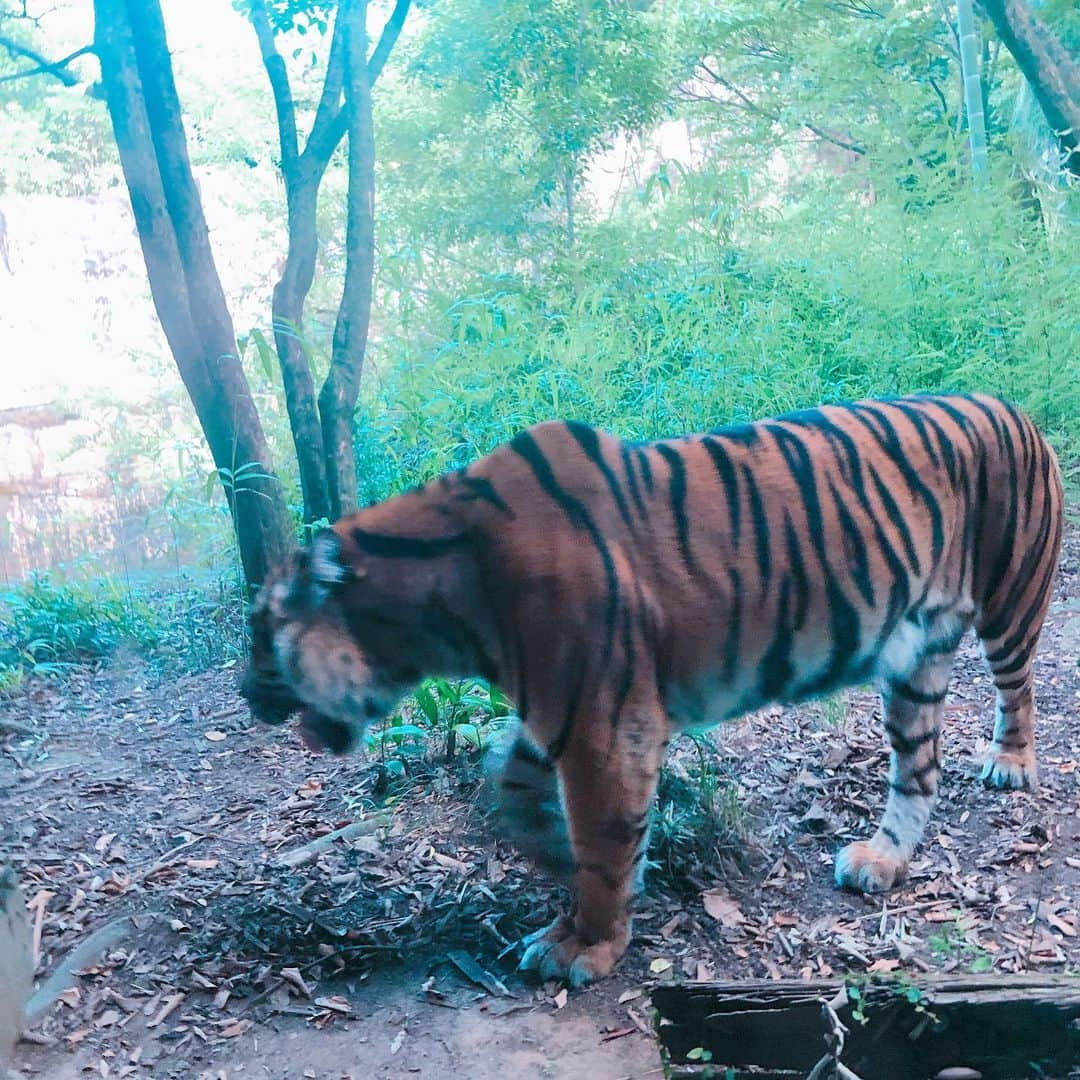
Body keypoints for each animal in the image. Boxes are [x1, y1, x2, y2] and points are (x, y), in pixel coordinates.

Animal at [243, 395, 1062, 989]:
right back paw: (881, 863)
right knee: (919, 770)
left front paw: (585, 944)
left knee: (1017, 689)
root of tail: (1016, 408)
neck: (436, 604)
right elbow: (516, 788)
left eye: (257, 632)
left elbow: (602, 837)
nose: (246, 695)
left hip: (1009, 604)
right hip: (913, 658)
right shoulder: (565, 708)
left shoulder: (604, 725)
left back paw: (1010, 764)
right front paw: (554, 854)